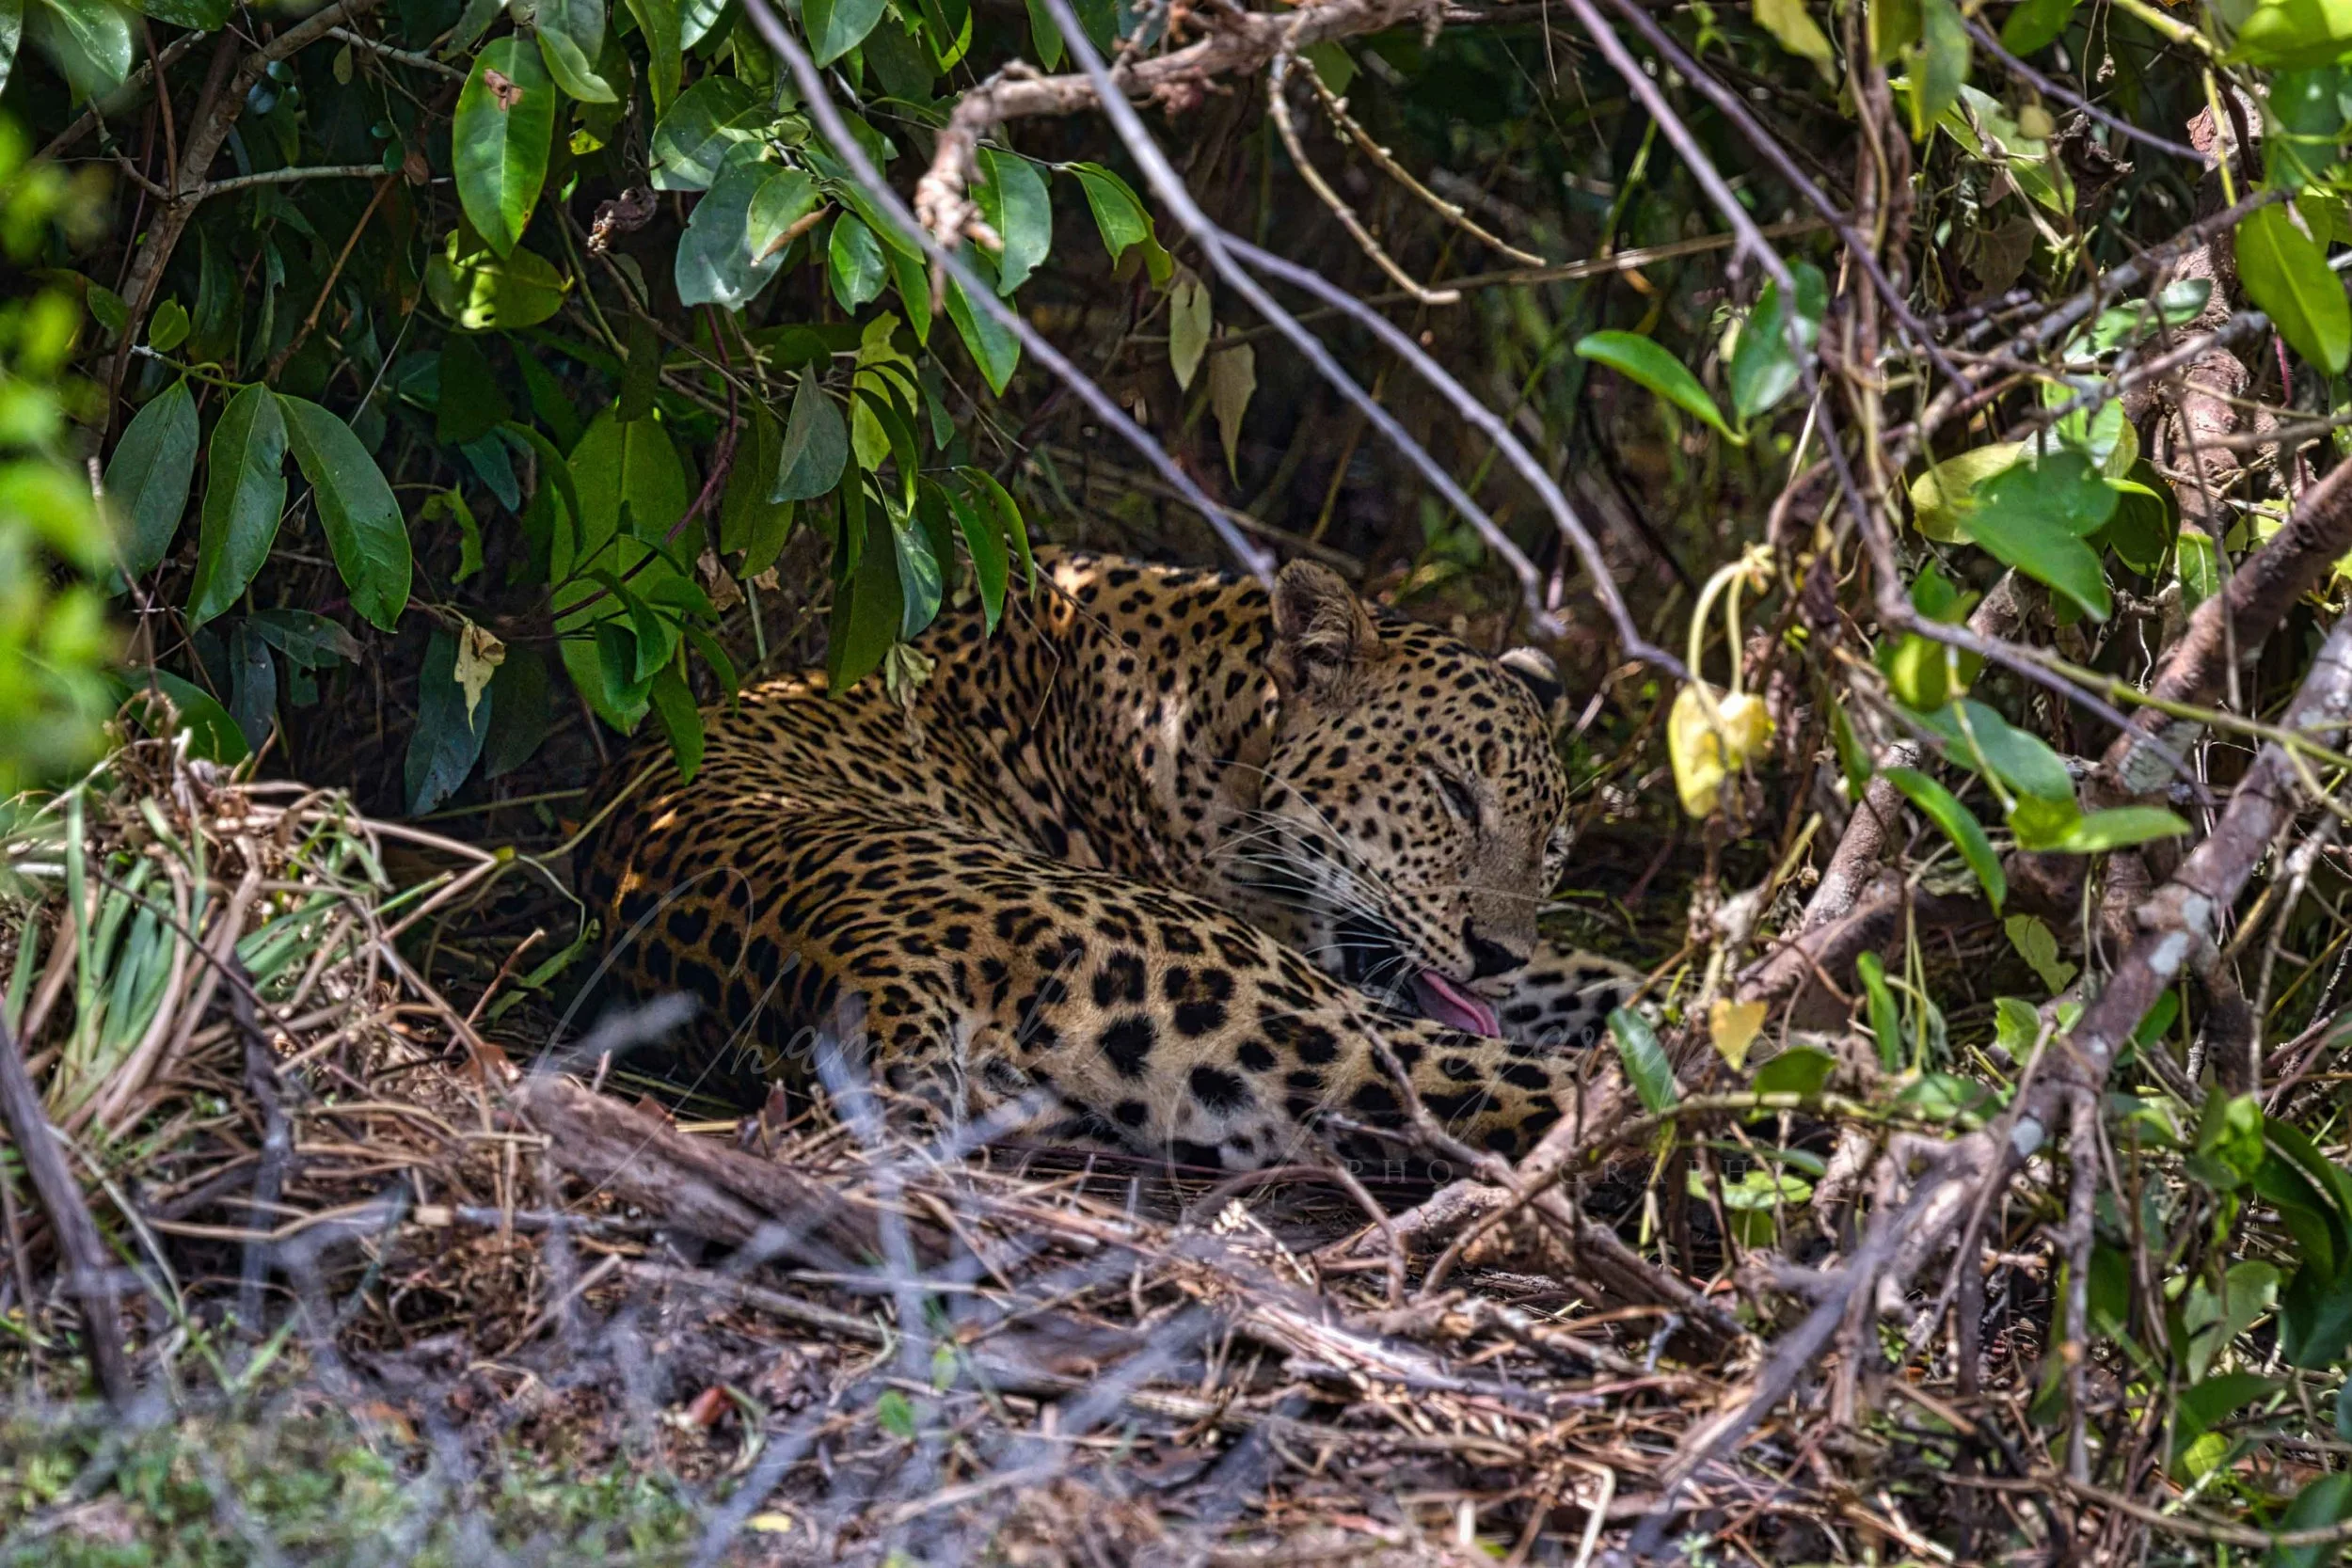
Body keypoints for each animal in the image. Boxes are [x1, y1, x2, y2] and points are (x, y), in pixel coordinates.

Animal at [578, 548, 1637, 1171]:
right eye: (1453, 792)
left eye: (1551, 842)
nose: (1495, 952)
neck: (1220, 716)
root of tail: (852, 957)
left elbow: (1600, 974)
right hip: (1275, 1002)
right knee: (1551, 1086)